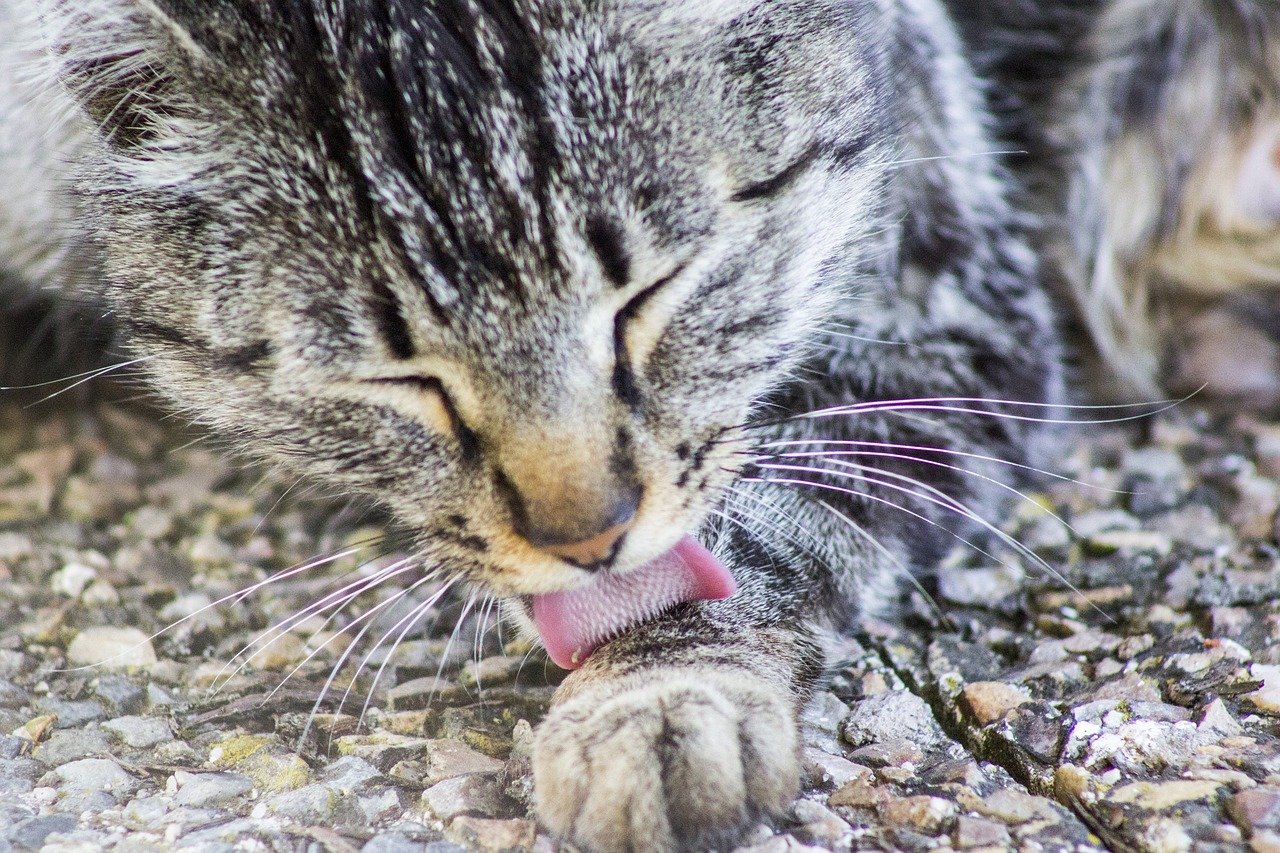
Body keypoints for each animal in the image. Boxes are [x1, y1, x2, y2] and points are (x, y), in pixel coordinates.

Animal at [5, 0, 1254, 845]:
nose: (586, 536)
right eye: (395, 376)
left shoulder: (944, 313)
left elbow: (762, 526)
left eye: (650, 294)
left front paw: (662, 695)